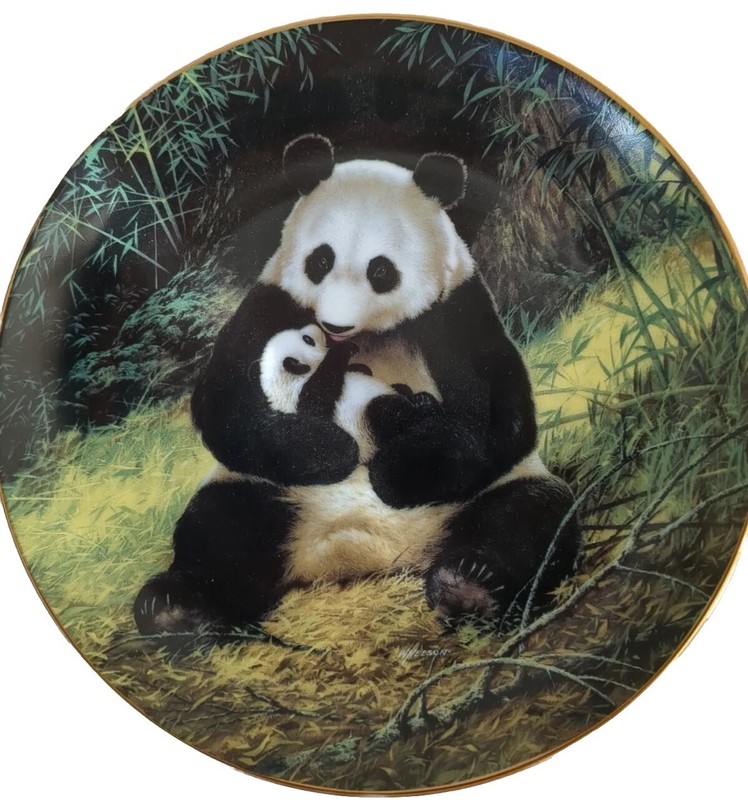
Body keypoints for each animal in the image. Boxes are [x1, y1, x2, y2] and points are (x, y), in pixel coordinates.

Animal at [134, 134, 581, 635]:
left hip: (483, 497)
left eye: (380, 271)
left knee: (529, 516)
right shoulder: (272, 303)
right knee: (221, 528)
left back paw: (468, 585)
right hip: (271, 493)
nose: (334, 324)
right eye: (320, 260)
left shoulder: (457, 310)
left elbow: (501, 417)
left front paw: (394, 470)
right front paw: (333, 449)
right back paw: (177, 609)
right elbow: (225, 406)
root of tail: (356, 551)